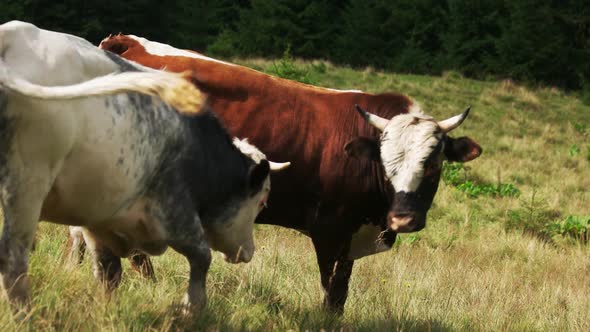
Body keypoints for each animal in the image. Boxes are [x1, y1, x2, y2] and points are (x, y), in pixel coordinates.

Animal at [92, 34, 484, 314]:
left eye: (433, 164)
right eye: (386, 165)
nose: (403, 218)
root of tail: (124, 42)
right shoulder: (330, 230)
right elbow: (333, 296)